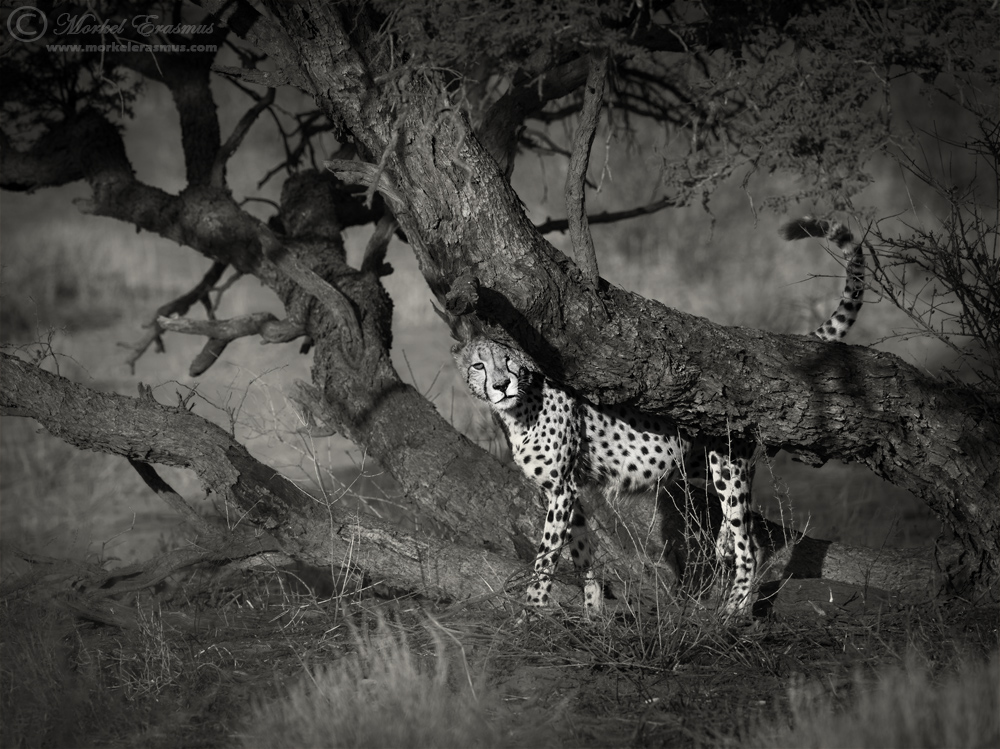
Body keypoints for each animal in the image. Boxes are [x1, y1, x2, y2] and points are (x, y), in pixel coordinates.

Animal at [453, 218, 865, 617]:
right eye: (478, 366)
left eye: (509, 360)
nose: (502, 385)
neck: (521, 406)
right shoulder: (569, 491)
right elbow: (582, 552)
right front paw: (592, 614)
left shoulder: (560, 489)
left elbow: (546, 558)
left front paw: (531, 613)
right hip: (709, 460)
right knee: (744, 512)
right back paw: (724, 548)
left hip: (725, 460)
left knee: (751, 543)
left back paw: (732, 611)